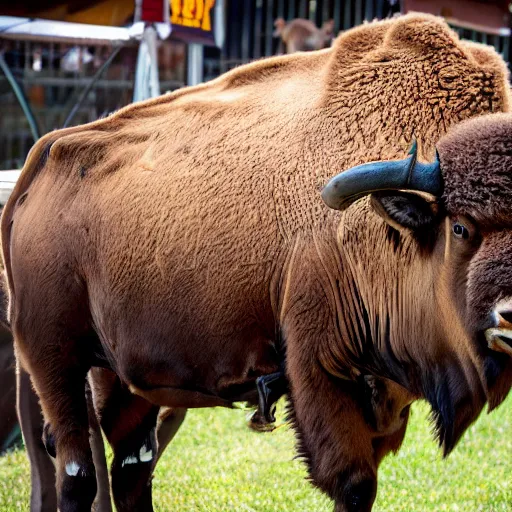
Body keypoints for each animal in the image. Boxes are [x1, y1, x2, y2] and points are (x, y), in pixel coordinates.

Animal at [2, 14, 510, 510]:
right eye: (460, 227)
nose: (507, 317)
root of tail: (42, 157)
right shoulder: (322, 373)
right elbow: (353, 484)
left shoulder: (387, 395)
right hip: (53, 360)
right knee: (76, 471)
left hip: (120, 375)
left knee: (130, 470)